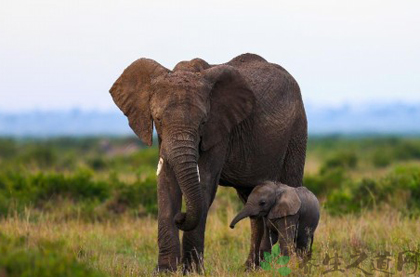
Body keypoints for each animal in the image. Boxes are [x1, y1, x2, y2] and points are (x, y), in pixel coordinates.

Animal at [110, 52, 306, 270]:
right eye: (158, 119)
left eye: (203, 122)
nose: (181, 217)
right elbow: (166, 184)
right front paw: (165, 270)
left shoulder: (220, 130)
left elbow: (205, 183)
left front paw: (192, 270)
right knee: (253, 203)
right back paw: (252, 268)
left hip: (297, 131)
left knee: (289, 189)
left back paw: (292, 265)